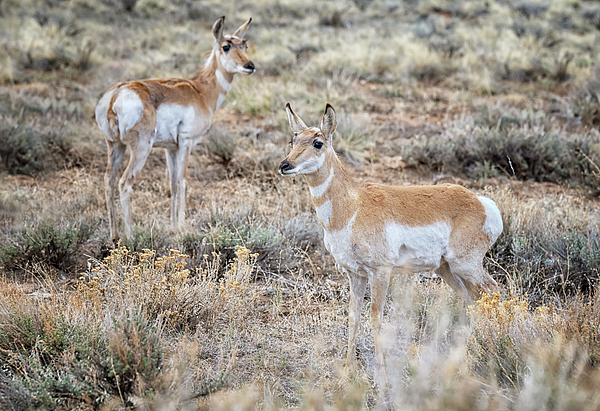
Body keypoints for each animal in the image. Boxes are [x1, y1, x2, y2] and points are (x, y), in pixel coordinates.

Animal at [95, 16, 253, 241]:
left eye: (244, 45)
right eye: (226, 46)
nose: (250, 65)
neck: (200, 91)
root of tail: (117, 94)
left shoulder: (170, 148)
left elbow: (172, 183)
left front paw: (172, 225)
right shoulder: (186, 143)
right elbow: (182, 181)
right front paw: (181, 226)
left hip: (115, 146)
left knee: (108, 180)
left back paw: (115, 235)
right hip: (140, 150)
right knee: (125, 182)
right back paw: (131, 237)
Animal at [278, 104, 504, 374]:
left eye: (318, 142)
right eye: (292, 140)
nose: (285, 165)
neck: (353, 207)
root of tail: (482, 203)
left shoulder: (380, 272)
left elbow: (376, 318)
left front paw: (381, 373)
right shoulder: (355, 274)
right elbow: (353, 317)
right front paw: (348, 369)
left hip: (465, 265)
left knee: (493, 290)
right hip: (447, 269)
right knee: (473, 300)